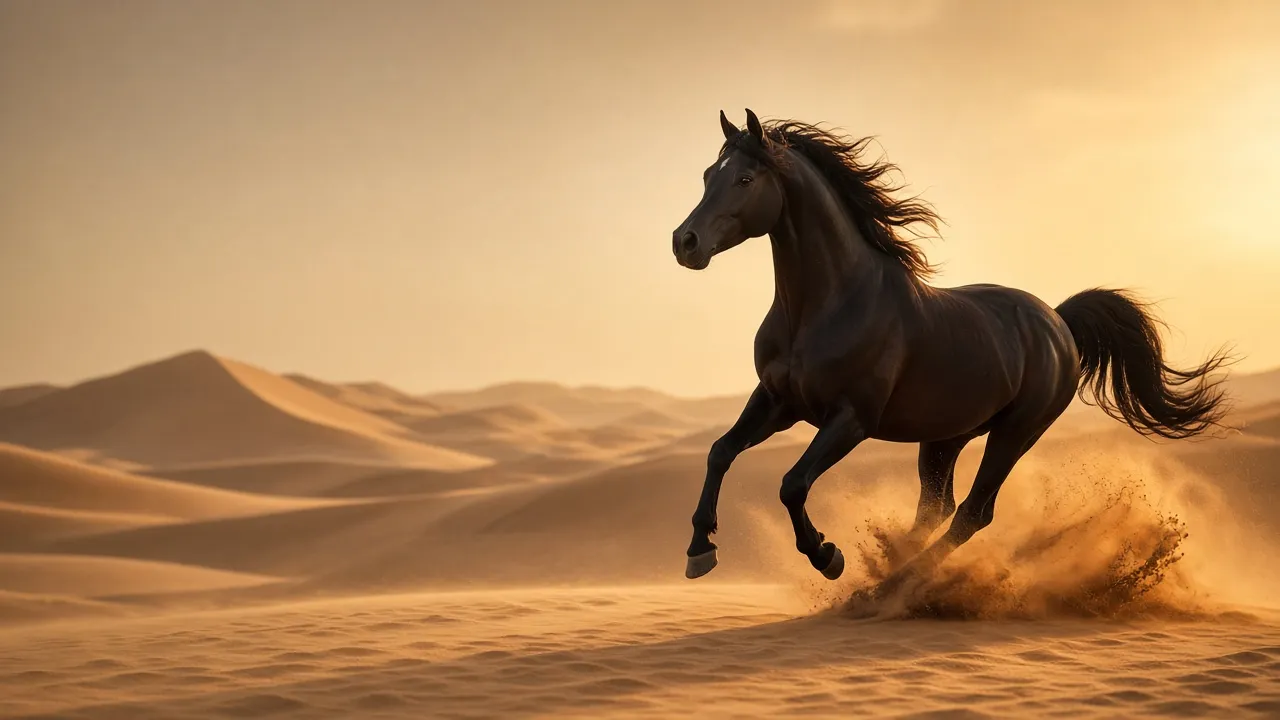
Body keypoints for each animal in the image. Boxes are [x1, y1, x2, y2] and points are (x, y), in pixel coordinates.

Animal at [671, 108, 1232, 588]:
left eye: (746, 179)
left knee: (972, 513)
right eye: (707, 174)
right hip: (946, 437)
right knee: (936, 510)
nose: (685, 242)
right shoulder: (777, 401)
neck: (824, 306)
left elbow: (792, 484)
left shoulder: (850, 418)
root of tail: (1058, 323)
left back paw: (889, 588)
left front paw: (828, 556)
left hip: (1015, 433)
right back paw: (889, 576)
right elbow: (720, 452)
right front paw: (700, 550)